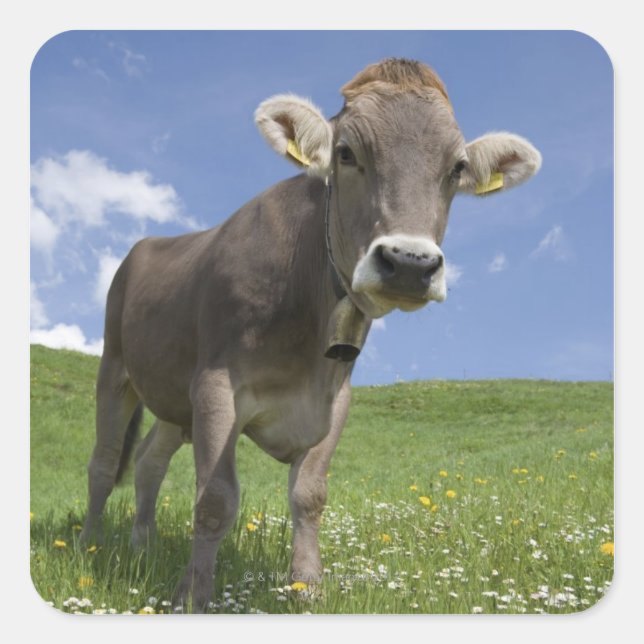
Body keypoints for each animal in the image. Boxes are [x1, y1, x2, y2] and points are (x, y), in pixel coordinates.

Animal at [80, 58, 541, 611]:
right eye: (346, 153)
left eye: (456, 168)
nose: (410, 262)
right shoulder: (215, 386)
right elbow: (214, 498)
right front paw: (193, 596)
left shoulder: (334, 399)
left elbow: (309, 494)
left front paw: (306, 588)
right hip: (115, 367)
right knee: (104, 462)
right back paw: (88, 544)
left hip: (172, 399)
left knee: (149, 461)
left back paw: (143, 544)